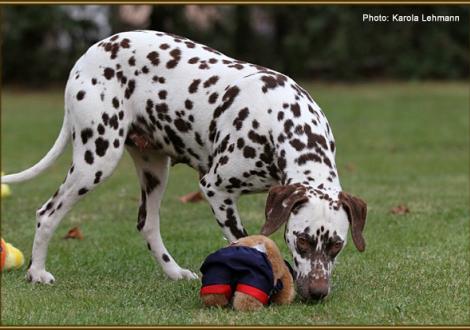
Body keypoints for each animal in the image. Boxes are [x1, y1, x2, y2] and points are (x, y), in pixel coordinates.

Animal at [0, 30, 368, 300]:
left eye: (337, 245)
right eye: (302, 240)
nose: (317, 293)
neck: (282, 120)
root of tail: (89, 53)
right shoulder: (215, 189)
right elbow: (246, 242)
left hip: (154, 172)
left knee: (148, 226)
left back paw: (174, 272)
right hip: (97, 161)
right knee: (47, 213)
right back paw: (37, 272)